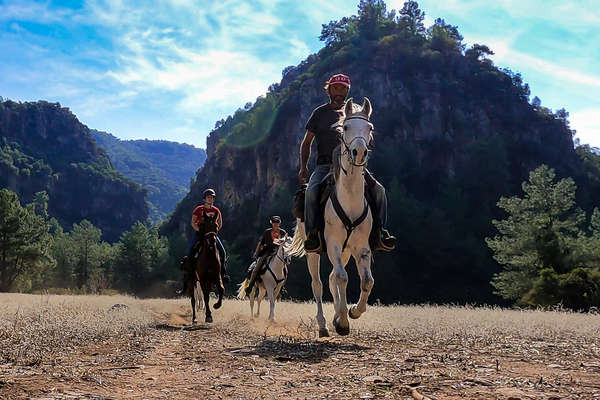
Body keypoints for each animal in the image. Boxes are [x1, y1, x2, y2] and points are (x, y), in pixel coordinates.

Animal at [290, 97, 372, 338]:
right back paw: (324, 324)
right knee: (318, 283)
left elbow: (366, 281)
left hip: (345, 252)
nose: (359, 152)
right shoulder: (333, 242)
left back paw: (336, 315)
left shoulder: (361, 247)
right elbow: (343, 278)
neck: (350, 199)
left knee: (332, 277)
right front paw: (343, 321)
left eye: (369, 128)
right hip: (314, 251)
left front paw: (352, 312)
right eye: (345, 127)